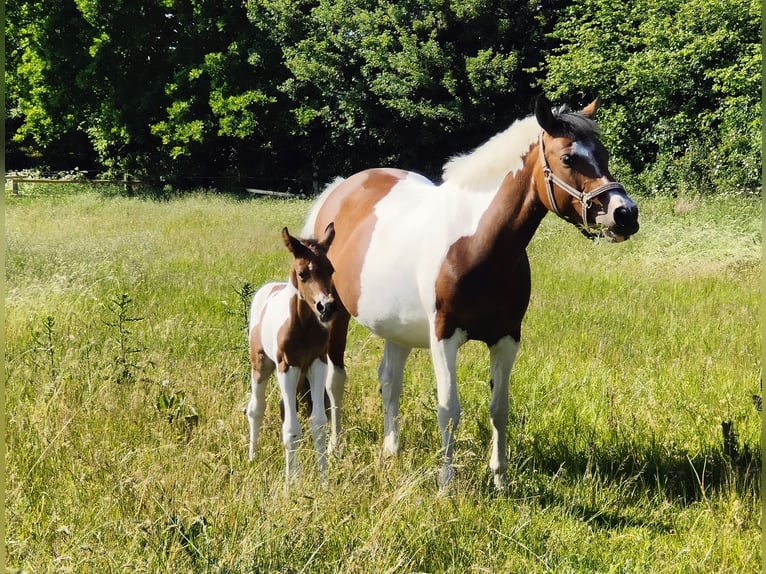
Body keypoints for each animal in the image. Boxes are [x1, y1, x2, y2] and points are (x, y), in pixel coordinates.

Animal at [249, 225, 340, 486]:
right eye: (302, 274)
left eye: (331, 269)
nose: (327, 307)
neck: (303, 327)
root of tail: (268, 287)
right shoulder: (287, 367)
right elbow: (291, 429)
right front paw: (291, 483)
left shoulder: (317, 364)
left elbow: (318, 423)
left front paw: (324, 480)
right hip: (261, 365)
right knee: (256, 408)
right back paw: (252, 457)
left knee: (281, 407)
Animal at [304, 95, 640, 490]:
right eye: (569, 158)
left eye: (603, 153)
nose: (625, 214)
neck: (478, 243)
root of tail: (340, 188)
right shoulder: (443, 337)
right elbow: (449, 409)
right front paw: (446, 484)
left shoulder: (507, 338)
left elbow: (499, 408)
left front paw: (501, 480)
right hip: (335, 315)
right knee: (335, 381)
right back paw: (336, 448)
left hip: (396, 328)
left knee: (389, 381)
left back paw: (391, 451)